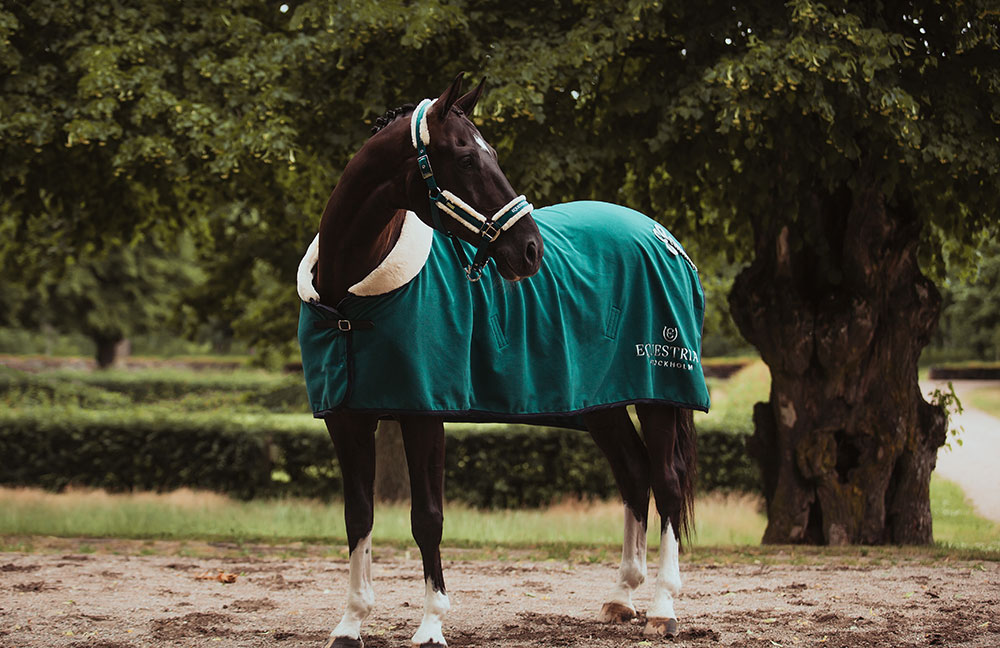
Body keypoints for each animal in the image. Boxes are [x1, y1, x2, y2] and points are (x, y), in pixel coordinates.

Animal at [296, 74, 707, 648]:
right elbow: (359, 516)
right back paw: (622, 597)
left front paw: (431, 626)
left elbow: (427, 518)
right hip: (602, 406)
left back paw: (662, 608)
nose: (531, 251)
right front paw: (351, 624)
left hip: (659, 395)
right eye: (468, 158)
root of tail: (665, 241)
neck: (348, 306)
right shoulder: (346, 419)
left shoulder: (423, 414)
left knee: (666, 483)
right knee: (634, 475)